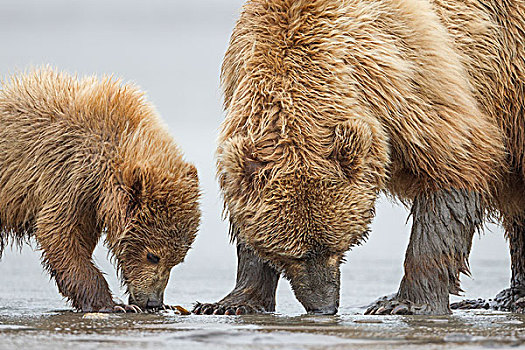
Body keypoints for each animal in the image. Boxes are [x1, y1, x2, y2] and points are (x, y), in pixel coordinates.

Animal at [0, 67, 201, 312]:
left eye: (177, 260)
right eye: (152, 256)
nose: (154, 302)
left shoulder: (91, 202)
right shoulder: (69, 173)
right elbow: (59, 232)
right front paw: (112, 304)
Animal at [193, 0, 524, 316]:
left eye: (335, 247)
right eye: (292, 254)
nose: (324, 307)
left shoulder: (407, 78)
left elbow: (454, 165)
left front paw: (402, 303)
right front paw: (230, 302)